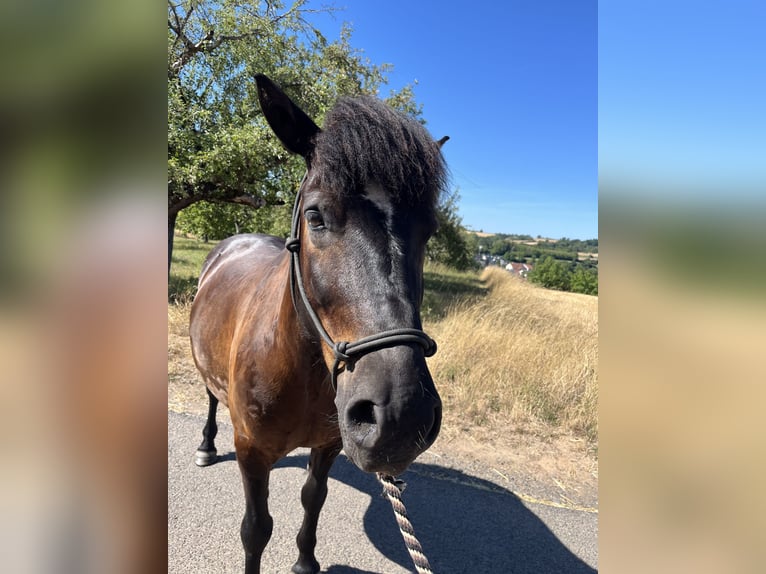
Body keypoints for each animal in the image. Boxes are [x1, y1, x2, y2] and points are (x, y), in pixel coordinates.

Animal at [189, 74, 447, 574]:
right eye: (315, 215)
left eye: (429, 230)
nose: (402, 415)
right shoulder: (252, 452)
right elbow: (256, 529)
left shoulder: (329, 446)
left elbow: (314, 497)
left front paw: (305, 561)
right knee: (210, 398)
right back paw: (207, 446)